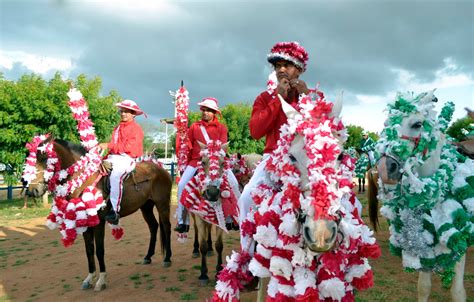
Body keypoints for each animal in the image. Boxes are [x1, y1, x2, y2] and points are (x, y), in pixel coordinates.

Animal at [22, 89, 173, 290]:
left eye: (46, 157)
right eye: (30, 156)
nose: (32, 190)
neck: (84, 179)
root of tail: (162, 169)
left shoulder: (99, 221)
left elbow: (100, 250)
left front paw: (101, 280)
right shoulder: (84, 220)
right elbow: (89, 250)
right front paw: (89, 278)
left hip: (162, 204)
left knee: (166, 226)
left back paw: (167, 258)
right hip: (146, 206)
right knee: (154, 227)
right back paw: (148, 256)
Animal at [181, 139, 241, 286]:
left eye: (223, 163)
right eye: (202, 162)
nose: (213, 193)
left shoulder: (221, 218)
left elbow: (219, 245)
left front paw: (218, 270)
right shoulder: (200, 218)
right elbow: (202, 245)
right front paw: (203, 274)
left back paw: (210, 248)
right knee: (197, 230)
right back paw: (195, 249)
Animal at [372, 90, 472, 302]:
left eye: (417, 124)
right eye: (387, 125)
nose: (385, 169)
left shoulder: (461, 240)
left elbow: (458, 292)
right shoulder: (424, 243)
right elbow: (423, 287)